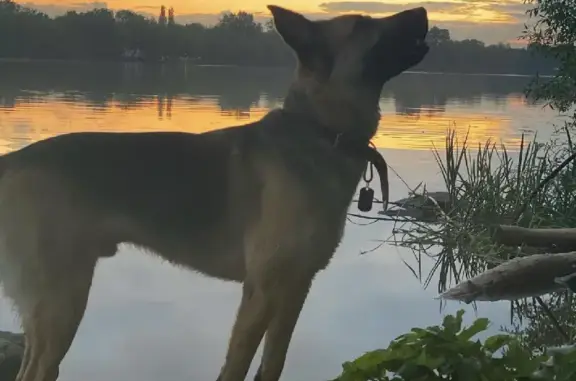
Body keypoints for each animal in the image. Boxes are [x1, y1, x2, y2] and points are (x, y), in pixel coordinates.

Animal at [0, 3, 428, 380]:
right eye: (361, 24)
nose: (424, 11)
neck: (320, 130)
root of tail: (14, 160)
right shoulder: (261, 291)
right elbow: (235, 367)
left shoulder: (295, 288)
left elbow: (272, 365)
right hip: (61, 303)